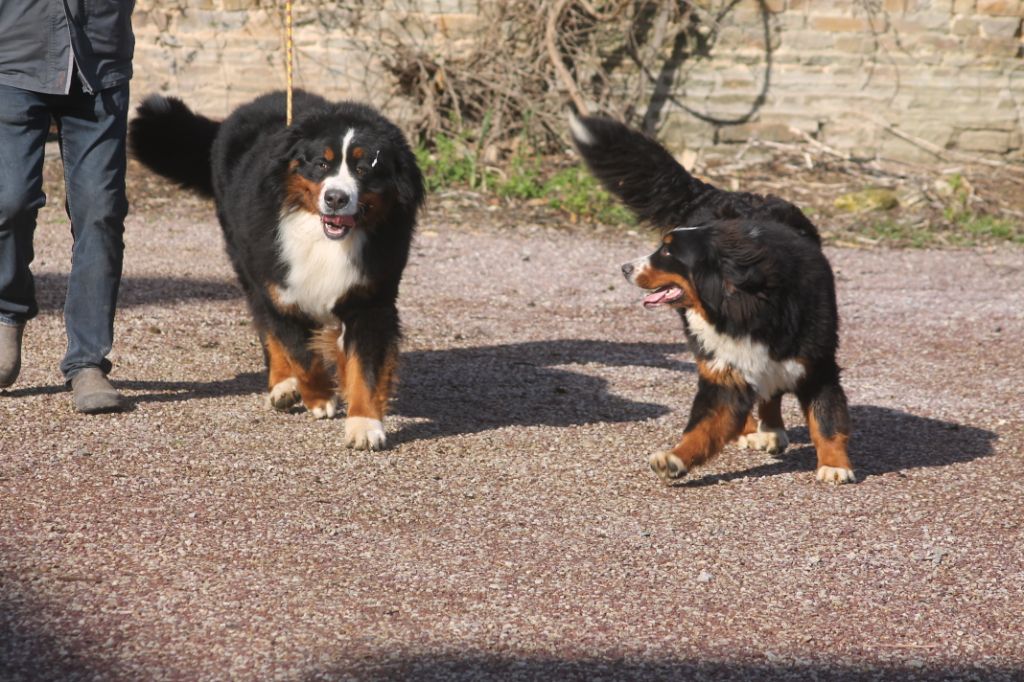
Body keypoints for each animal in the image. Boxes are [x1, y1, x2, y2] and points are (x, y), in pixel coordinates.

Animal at [129, 91, 423, 450]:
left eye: (364, 168)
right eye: (321, 163)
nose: (336, 198)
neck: (325, 239)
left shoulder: (370, 298)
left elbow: (365, 368)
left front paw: (364, 424)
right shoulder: (282, 289)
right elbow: (301, 354)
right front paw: (320, 397)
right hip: (247, 264)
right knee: (267, 326)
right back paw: (283, 385)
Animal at [569, 112, 856, 483]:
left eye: (667, 252)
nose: (624, 267)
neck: (743, 309)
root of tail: (724, 193)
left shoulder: (817, 366)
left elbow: (826, 420)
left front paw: (834, 465)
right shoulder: (724, 374)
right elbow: (704, 427)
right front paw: (675, 458)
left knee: (773, 392)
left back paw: (771, 429)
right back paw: (756, 431)